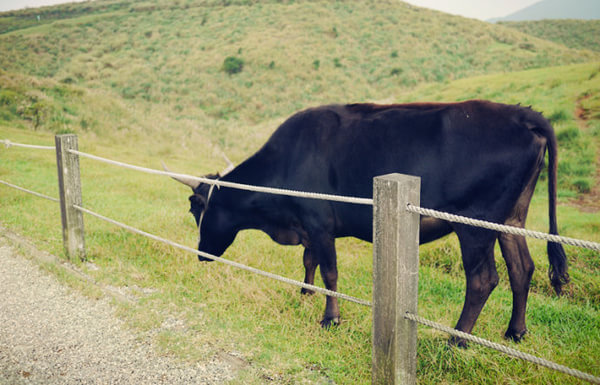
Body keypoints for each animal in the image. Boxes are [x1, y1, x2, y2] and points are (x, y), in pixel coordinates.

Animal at [169, 100, 568, 342]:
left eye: (196, 206)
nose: (201, 254)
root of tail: (521, 114)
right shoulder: (308, 225)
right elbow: (309, 261)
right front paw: (305, 291)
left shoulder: (319, 222)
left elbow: (330, 271)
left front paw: (330, 318)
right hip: (511, 218)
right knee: (522, 269)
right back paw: (515, 331)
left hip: (474, 225)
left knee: (483, 279)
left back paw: (457, 339)